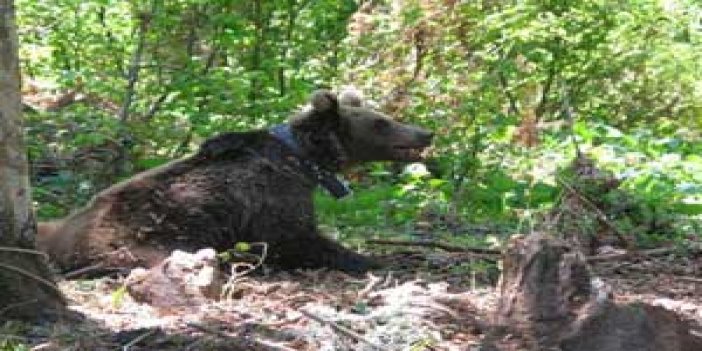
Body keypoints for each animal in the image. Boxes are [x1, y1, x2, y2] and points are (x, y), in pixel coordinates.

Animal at [38, 89, 434, 274]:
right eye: (381, 122)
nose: (425, 132)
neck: (304, 161)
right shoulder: (271, 198)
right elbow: (295, 239)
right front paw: (373, 260)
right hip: (136, 237)